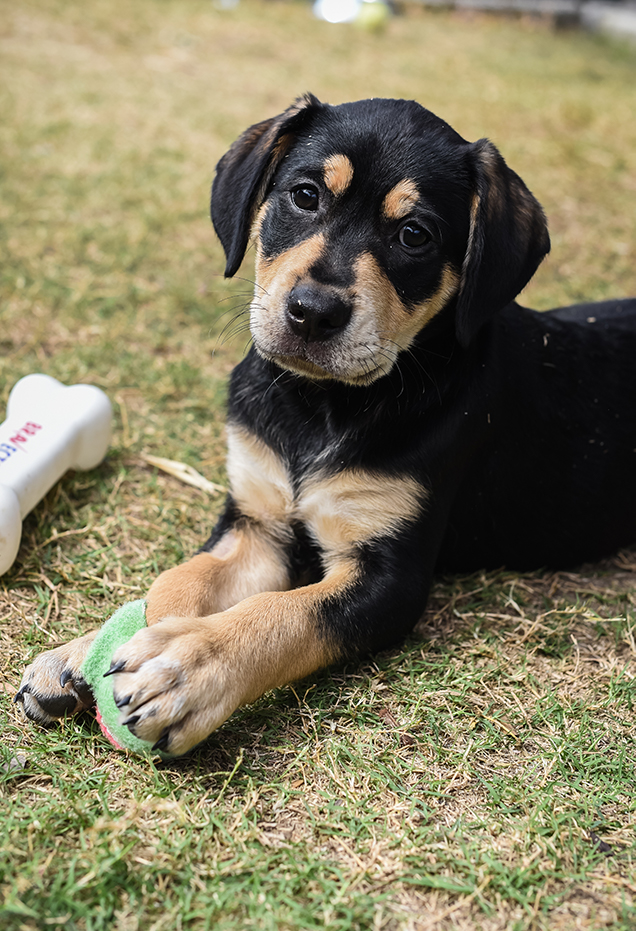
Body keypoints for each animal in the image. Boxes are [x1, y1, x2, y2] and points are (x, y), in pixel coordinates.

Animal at [14, 96, 636, 756]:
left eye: (414, 236)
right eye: (305, 196)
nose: (312, 313)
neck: (318, 408)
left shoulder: (388, 577)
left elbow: (285, 615)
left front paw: (187, 665)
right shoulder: (257, 523)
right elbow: (183, 580)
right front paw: (92, 650)